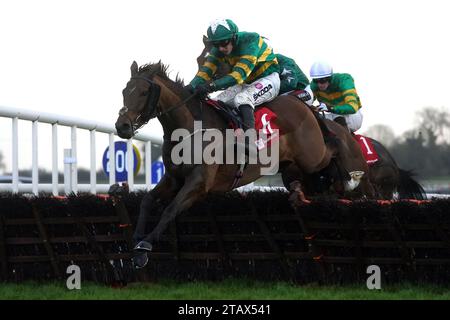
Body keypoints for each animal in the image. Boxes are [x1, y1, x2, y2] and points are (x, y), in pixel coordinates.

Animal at [115, 60, 372, 268]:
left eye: (144, 92)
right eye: (124, 91)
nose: (122, 126)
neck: (190, 128)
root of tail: (302, 104)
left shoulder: (199, 183)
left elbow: (170, 209)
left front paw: (144, 248)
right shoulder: (173, 178)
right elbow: (147, 201)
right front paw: (136, 240)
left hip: (312, 155)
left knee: (334, 146)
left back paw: (350, 178)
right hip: (293, 167)